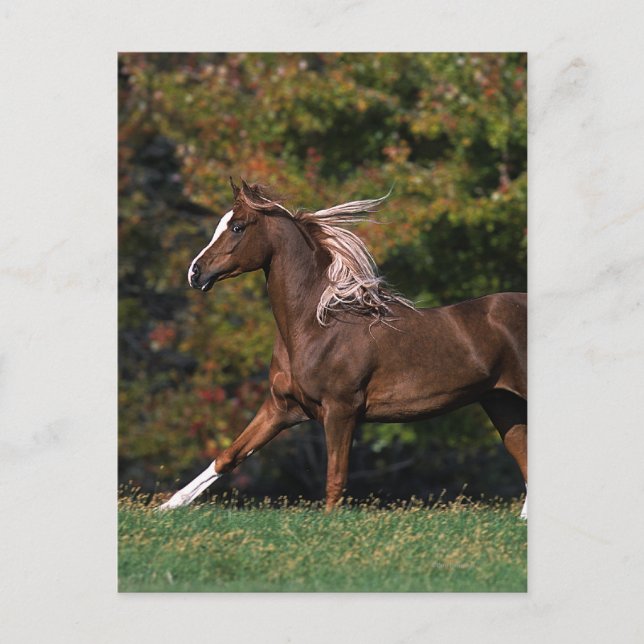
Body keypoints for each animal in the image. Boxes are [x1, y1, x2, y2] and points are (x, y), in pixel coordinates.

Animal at [159, 179, 528, 518]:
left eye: (236, 227)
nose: (195, 273)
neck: (317, 327)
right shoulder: (281, 408)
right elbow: (228, 456)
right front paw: (165, 508)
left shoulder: (341, 411)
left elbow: (335, 479)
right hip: (501, 403)